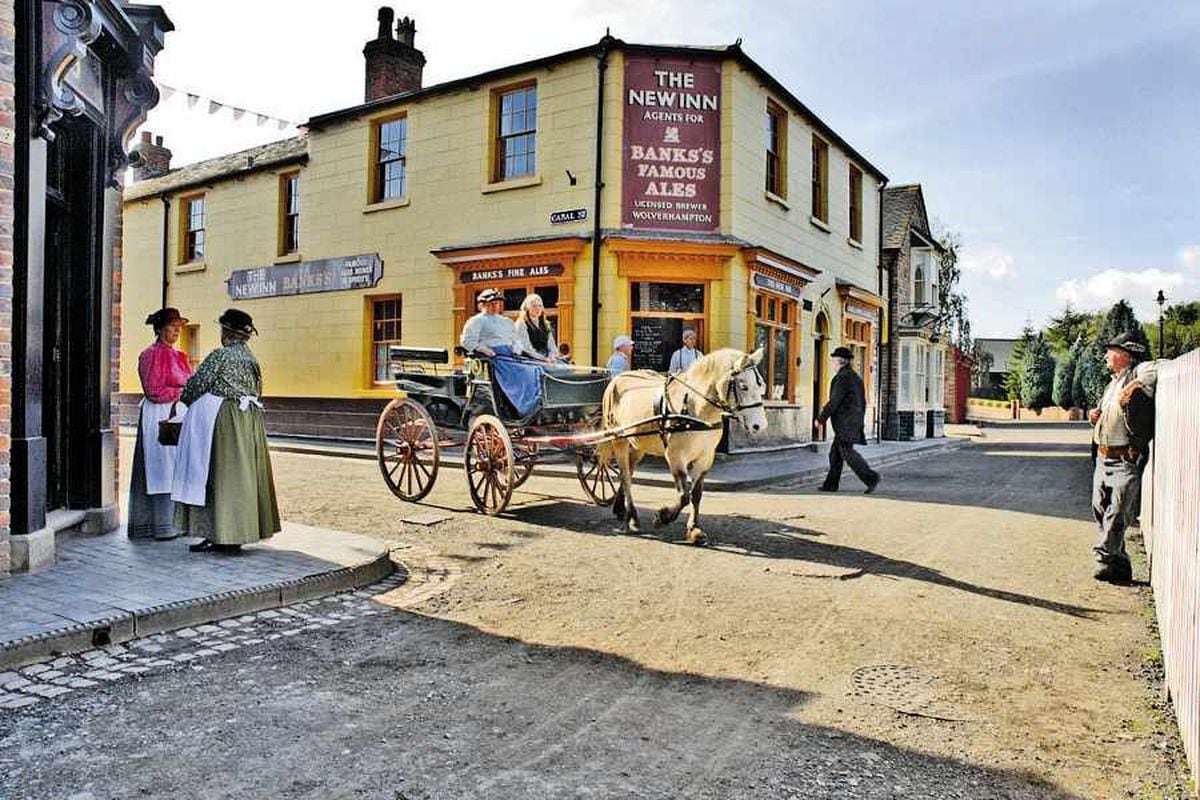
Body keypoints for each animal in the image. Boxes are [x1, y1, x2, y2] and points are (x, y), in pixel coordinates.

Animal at [600, 347, 768, 544]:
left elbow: (696, 494)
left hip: (638, 444)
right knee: (626, 476)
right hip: (619, 438)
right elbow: (684, 496)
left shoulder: (705, 458)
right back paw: (632, 517)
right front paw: (663, 517)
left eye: (761, 385)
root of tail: (618, 378)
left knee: (629, 472)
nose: (760, 426)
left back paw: (620, 508)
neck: (696, 408)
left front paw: (694, 529)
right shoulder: (676, 456)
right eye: (743, 386)